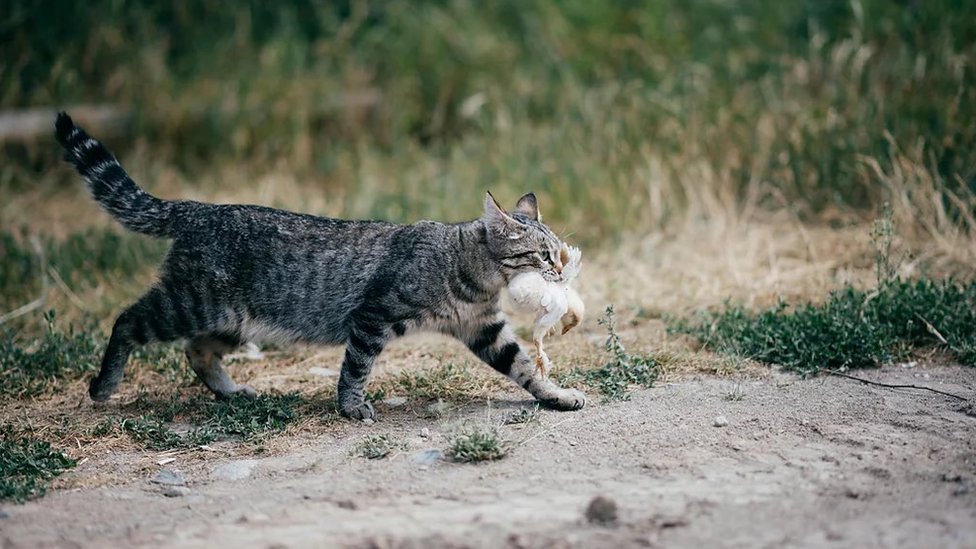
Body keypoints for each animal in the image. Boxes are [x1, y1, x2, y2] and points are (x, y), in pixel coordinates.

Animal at [55, 111, 588, 420]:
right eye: (544, 255)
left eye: (559, 253)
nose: (561, 273)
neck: (474, 277)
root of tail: (199, 208)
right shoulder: (372, 316)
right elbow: (356, 367)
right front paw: (351, 408)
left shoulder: (484, 329)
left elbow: (524, 367)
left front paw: (555, 396)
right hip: (187, 304)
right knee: (127, 320)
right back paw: (103, 386)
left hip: (230, 321)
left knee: (196, 351)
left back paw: (231, 392)